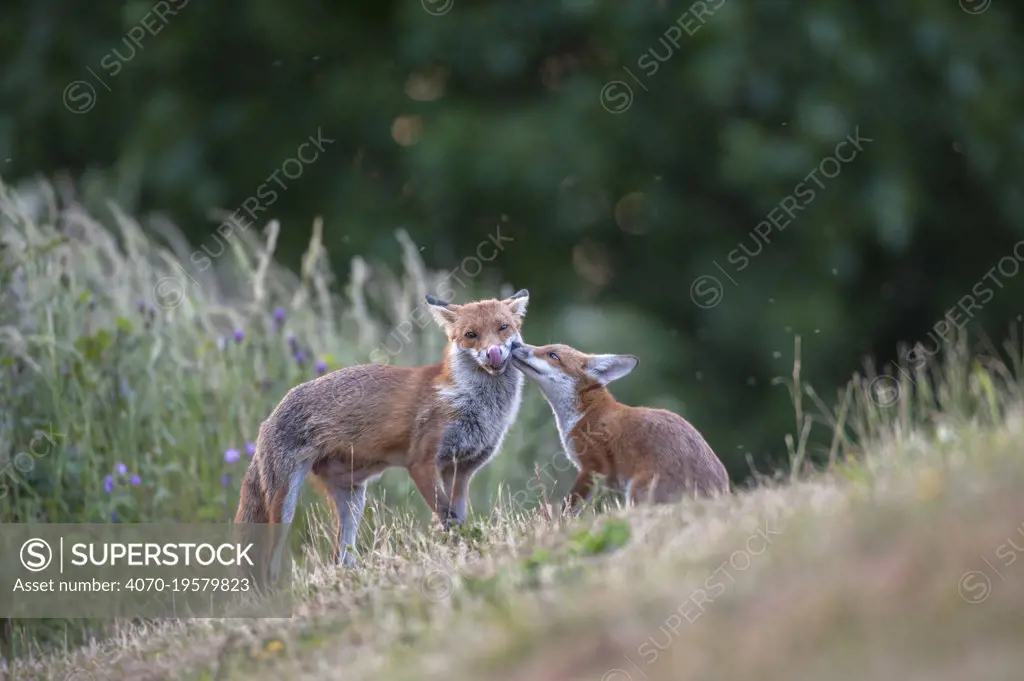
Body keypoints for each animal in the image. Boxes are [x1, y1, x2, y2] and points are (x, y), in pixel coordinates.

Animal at [236, 288, 532, 569]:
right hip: (284, 506)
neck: (470, 401)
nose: (493, 352)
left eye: (503, 327)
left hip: (352, 500)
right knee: (269, 564)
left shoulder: (459, 470)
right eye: (471, 335)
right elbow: (447, 517)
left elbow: (458, 518)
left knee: (340, 558)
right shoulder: (421, 463)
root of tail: (266, 421)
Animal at [512, 342, 729, 507]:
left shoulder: (594, 467)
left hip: (636, 492)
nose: (515, 344)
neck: (586, 414)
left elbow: (568, 507)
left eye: (553, 355)